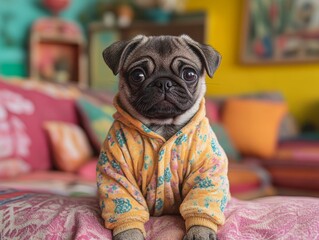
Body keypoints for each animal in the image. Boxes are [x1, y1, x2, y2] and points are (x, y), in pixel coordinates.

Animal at [97, 34, 230, 240]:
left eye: (189, 74)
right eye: (138, 75)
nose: (164, 82)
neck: (163, 125)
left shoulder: (206, 169)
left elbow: (201, 200)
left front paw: (199, 231)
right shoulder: (117, 169)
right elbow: (125, 202)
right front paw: (130, 234)